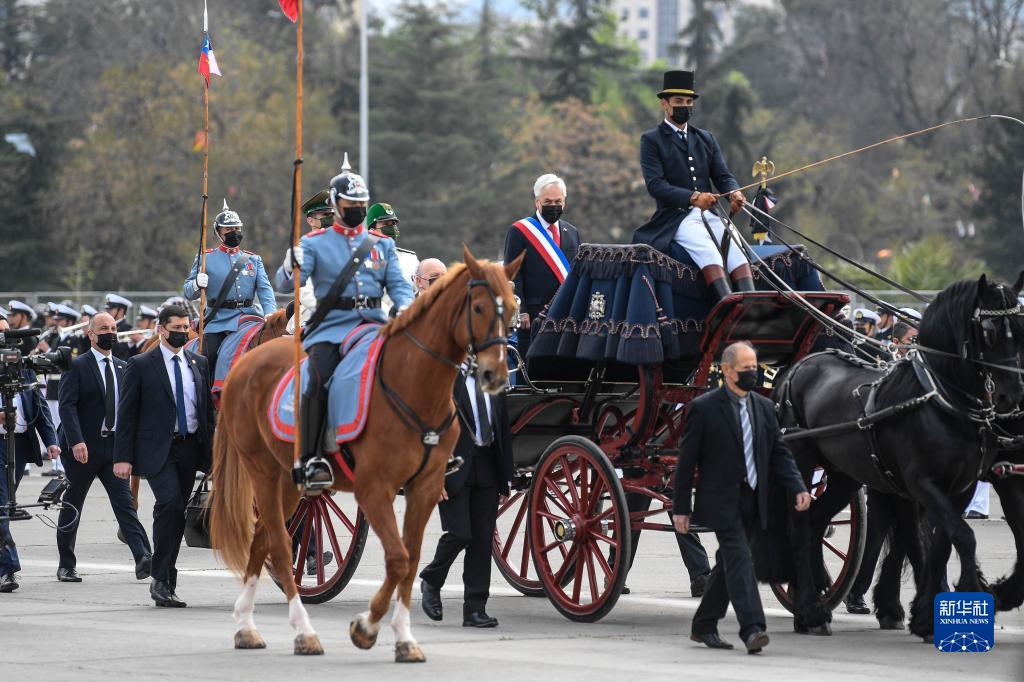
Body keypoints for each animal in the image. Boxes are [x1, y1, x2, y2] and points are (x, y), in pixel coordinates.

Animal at [210, 248, 524, 659]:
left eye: (513, 307)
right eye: (478, 306)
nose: (494, 375)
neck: (412, 382)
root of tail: (244, 363)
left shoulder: (424, 489)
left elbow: (410, 560)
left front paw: (400, 637)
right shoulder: (374, 489)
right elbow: (398, 558)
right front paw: (368, 626)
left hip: (289, 482)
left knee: (263, 537)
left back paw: (246, 626)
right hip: (263, 471)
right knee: (278, 544)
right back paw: (303, 632)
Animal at [770, 272, 1024, 638]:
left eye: (1019, 328)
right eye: (989, 332)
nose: (1011, 396)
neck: (942, 398)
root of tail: (796, 369)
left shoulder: (960, 487)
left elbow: (942, 542)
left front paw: (929, 614)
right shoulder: (923, 483)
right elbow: (960, 537)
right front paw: (968, 592)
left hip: (847, 475)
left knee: (820, 521)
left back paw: (822, 599)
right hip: (801, 461)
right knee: (800, 529)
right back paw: (810, 609)